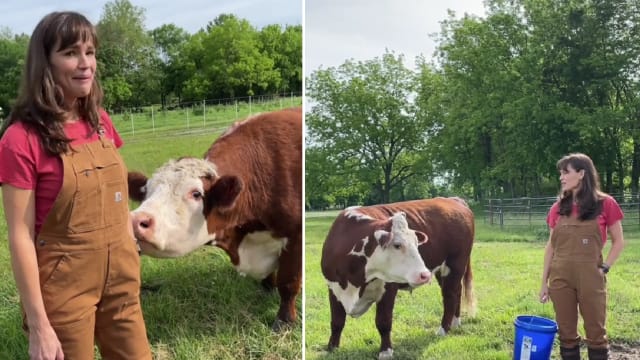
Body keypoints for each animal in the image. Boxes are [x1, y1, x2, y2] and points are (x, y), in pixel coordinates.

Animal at [129, 107, 304, 330]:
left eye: (196, 194)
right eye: (146, 191)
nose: (135, 221)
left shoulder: (296, 235)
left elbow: (288, 283)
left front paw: (284, 320)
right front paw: (268, 289)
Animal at [320, 198, 476, 358]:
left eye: (416, 243)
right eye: (397, 245)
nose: (425, 274)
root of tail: (453, 199)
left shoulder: (389, 288)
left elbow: (383, 322)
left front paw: (385, 351)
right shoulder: (333, 287)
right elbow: (337, 321)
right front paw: (332, 347)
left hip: (456, 264)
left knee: (450, 295)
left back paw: (443, 329)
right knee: (457, 291)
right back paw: (455, 323)